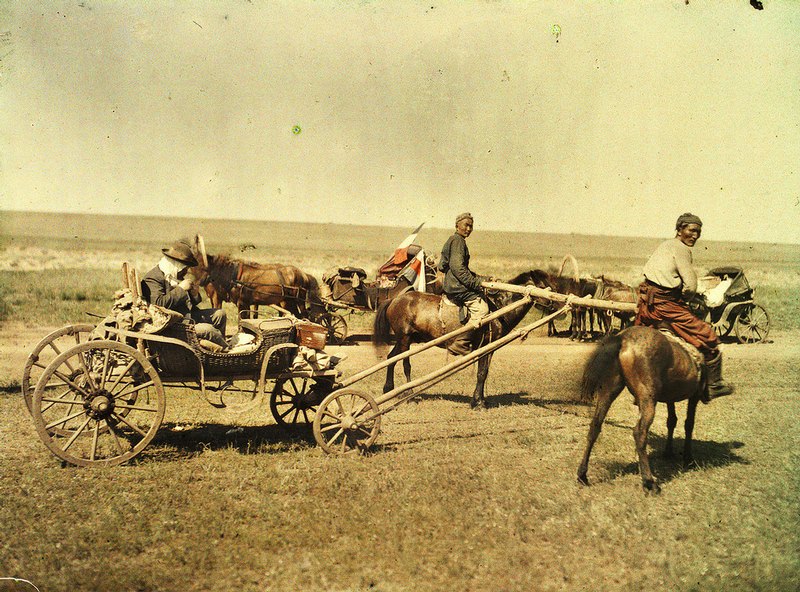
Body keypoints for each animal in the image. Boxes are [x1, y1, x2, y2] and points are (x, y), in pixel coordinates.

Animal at [374, 270, 552, 410]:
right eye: (540, 285)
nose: (550, 301)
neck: (499, 307)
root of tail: (394, 300)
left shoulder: (490, 348)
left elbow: (484, 372)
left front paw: (481, 400)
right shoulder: (484, 346)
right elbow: (481, 373)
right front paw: (477, 403)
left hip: (404, 339)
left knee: (391, 358)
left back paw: (389, 389)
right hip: (405, 339)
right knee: (405, 364)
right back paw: (409, 394)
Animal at [576, 326, 708, 492]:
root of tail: (622, 339)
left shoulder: (670, 397)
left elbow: (672, 421)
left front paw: (668, 452)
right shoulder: (694, 396)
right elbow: (688, 424)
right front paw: (688, 459)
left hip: (609, 389)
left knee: (595, 425)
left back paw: (582, 475)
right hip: (648, 398)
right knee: (639, 432)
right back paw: (649, 482)